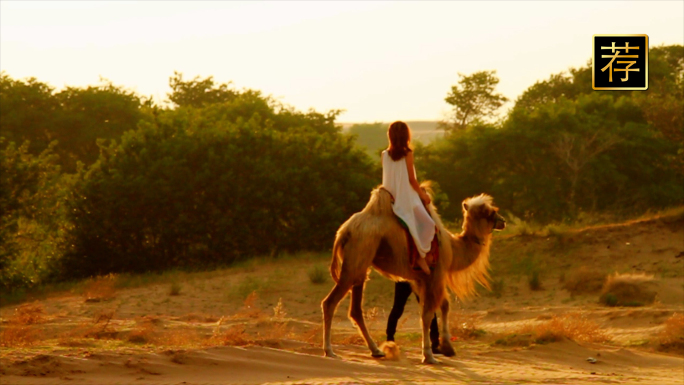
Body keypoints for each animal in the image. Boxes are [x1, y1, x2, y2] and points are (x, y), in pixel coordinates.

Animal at [320, 185, 502, 364]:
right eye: (489, 212)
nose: (503, 221)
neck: (452, 247)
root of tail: (344, 231)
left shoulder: (421, 280)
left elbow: (441, 307)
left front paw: (446, 348)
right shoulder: (435, 275)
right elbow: (428, 314)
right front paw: (428, 355)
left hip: (361, 265)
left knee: (356, 310)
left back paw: (376, 350)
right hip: (356, 260)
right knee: (330, 302)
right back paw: (329, 351)